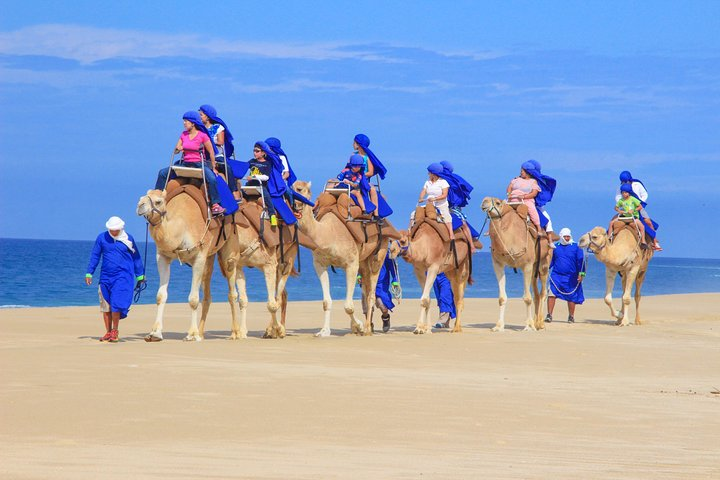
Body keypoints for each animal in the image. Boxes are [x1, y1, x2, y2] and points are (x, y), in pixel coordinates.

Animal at [290, 181, 388, 338]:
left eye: (300, 189)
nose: (293, 204)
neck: (329, 233)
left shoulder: (351, 264)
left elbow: (348, 306)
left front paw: (360, 327)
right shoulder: (319, 264)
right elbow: (326, 302)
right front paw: (324, 331)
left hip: (379, 253)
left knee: (371, 293)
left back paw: (367, 328)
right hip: (363, 261)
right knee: (366, 288)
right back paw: (367, 326)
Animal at [396, 206, 476, 334]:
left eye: (403, 241)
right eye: (390, 240)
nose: (391, 251)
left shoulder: (433, 267)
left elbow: (424, 298)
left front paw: (420, 328)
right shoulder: (418, 269)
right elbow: (427, 298)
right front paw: (424, 328)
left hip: (463, 266)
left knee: (459, 297)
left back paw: (457, 328)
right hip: (450, 271)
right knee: (455, 294)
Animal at [480, 197, 556, 332]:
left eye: (498, 202)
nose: (484, 202)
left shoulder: (526, 265)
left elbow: (527, 298)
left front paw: (528, 326)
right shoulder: (498, 264)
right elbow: (502, 298)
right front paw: (498, 326)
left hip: (544, 264)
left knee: (542, 293)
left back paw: (540, 324)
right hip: (534, 268)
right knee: (536, 293)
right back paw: (536, 322)